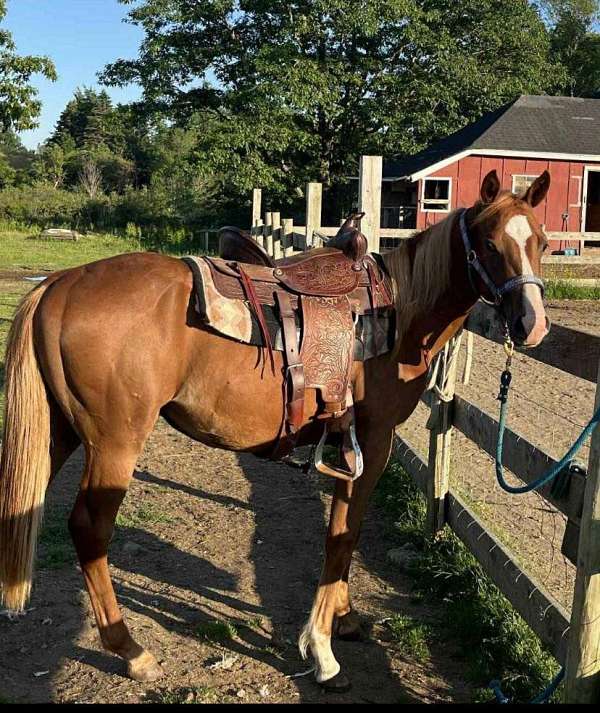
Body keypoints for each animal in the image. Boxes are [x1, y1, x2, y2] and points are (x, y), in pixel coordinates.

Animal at [0, 169, 550, 691]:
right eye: (489, 243)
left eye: (541, 242)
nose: (533, 325)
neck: (399, 311)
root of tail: (61, 284)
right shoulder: (372, 442)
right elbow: (342, 537)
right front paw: (323, 651)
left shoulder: (350, 445)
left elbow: (345, 531)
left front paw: (344, 619)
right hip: (113, 445)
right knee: (90, 530)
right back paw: (131, 650)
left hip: (59, 436)